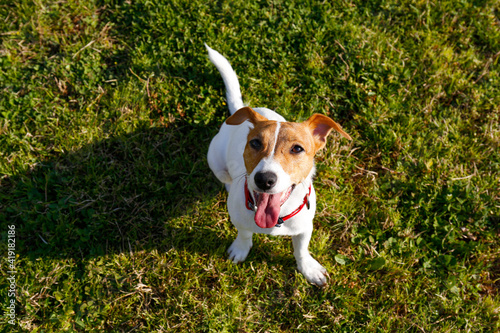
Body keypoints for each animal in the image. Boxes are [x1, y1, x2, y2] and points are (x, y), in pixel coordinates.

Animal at [204, 44, 352, 286]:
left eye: (297, 149)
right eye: (255, 143)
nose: (264, 179)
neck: (276, 218)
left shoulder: (305, 227)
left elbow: (301, 249)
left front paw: (308, 268)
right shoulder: (240, 219)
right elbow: (244, 233)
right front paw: (240, 249)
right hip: (214, 158)